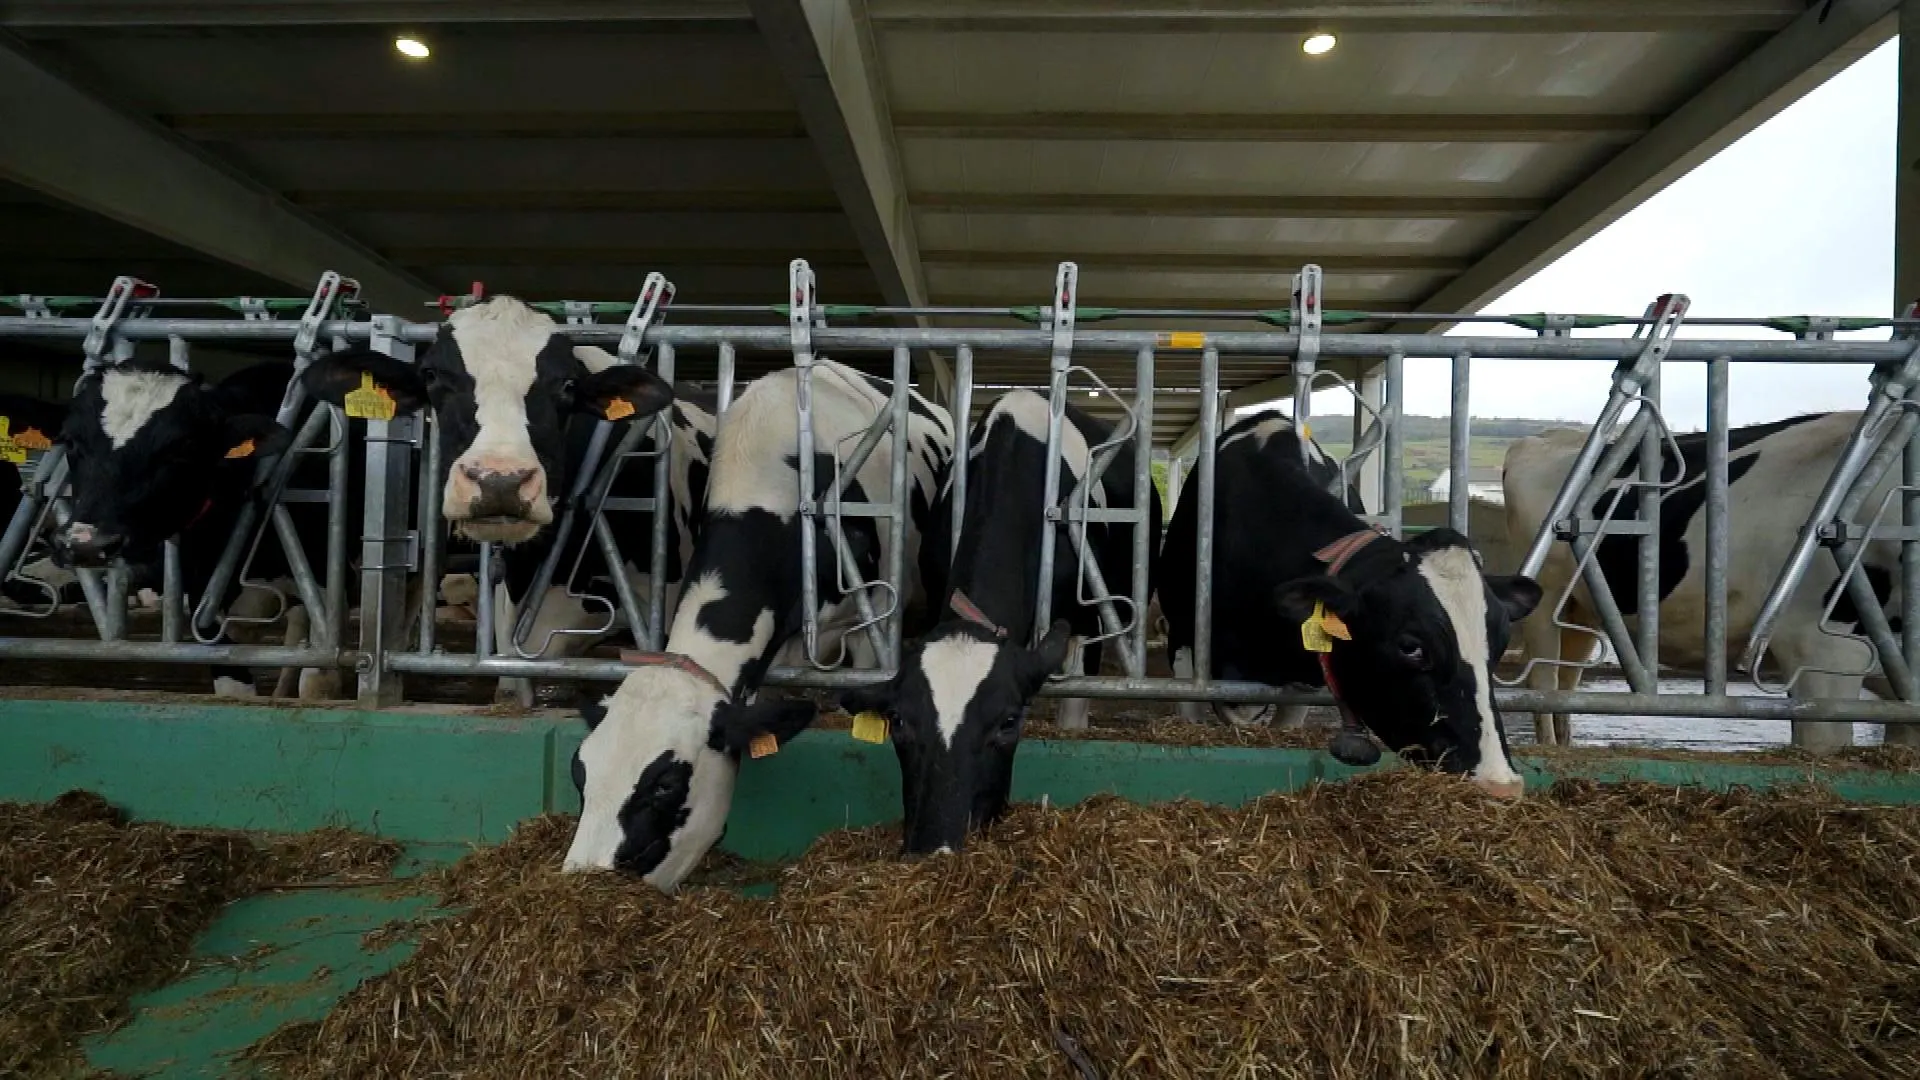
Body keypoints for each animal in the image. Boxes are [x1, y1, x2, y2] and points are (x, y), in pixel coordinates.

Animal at [1512, 411, 1904, 749]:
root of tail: (1548, 436)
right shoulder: (1820, 648)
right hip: (1545, 600)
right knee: (1543, 681)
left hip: (1581, 609)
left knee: (1566, 683)